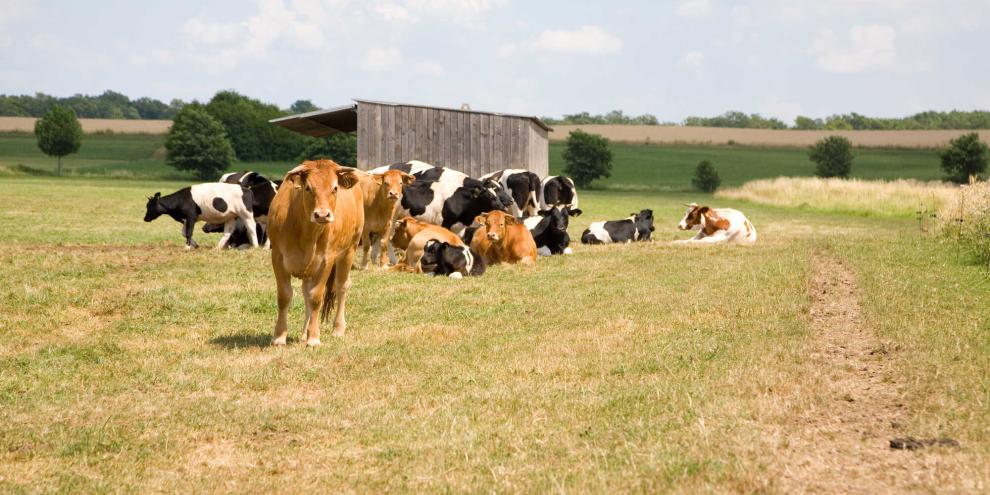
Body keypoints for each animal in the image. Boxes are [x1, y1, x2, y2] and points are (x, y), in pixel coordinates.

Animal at [268, 159, 364, 345]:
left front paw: (313, 338)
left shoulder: (326, 260)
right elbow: (284, 296)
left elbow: (315, 298)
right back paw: (304, 332)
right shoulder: (277, 256)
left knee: (342, 286)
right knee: (306, 290)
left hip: (349, 250)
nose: (322, 215)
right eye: (308, 188)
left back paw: (338, 329)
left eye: (335, 188)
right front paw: (280, 336)